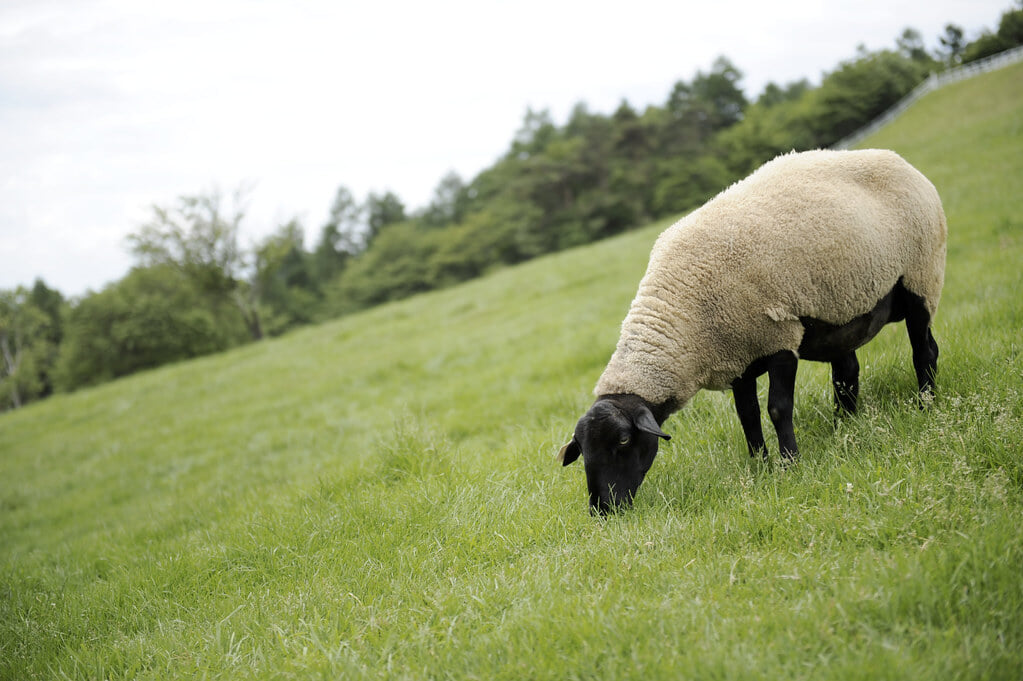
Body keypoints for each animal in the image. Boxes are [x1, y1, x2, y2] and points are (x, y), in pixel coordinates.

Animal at [564, 147, 945, 509]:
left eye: (623, 440)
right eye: (583, 450)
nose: (602, 509)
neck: (683, 319)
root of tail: (895, 158)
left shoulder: (779, 340)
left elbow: (778, 409)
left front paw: (790, 463)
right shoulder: (737, 357)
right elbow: (747, 416)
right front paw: (760, 466)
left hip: (921, 278)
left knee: (923, 351)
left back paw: (927, 406)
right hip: (842, 313)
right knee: (849, 372)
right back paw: (846, 425)